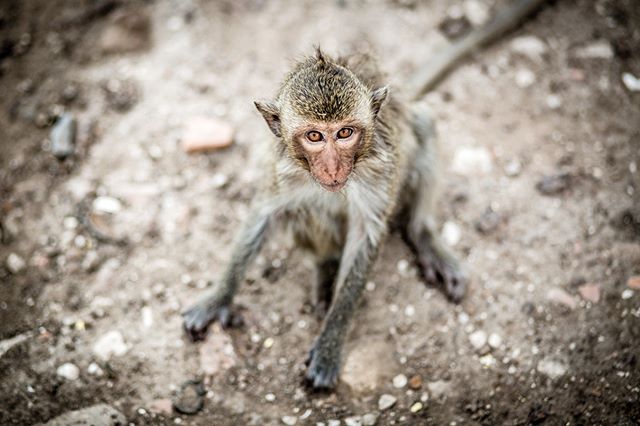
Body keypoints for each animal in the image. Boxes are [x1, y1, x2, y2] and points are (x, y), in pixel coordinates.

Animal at [182, 0, 548, 390]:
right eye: (314, 136)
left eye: (345, 133)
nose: (332, 168)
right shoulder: (281, 172)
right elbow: (264, 215)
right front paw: (219, 297)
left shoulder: (379, 173)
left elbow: (365, 236)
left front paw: (331, 342)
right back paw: (326, 267)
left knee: (423, 125)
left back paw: (421, 235)